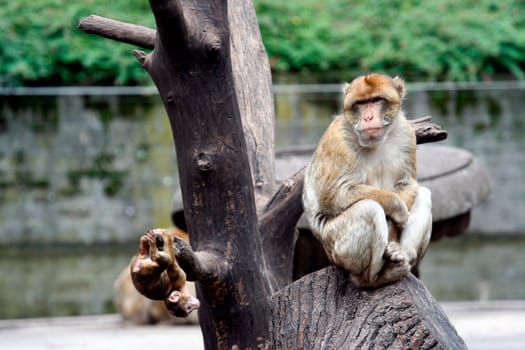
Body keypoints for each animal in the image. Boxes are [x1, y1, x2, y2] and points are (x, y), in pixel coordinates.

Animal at [300, 74, 432, 288]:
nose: (368, 118)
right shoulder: (337, 140)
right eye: (361, 103)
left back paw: (401, 255)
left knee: (423, 194)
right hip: (338, 248)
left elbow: (408, 183)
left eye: (376, 100)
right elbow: (334, 194)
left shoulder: (406, 132)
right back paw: (374, 278)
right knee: (369, 209)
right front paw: (397, 209)